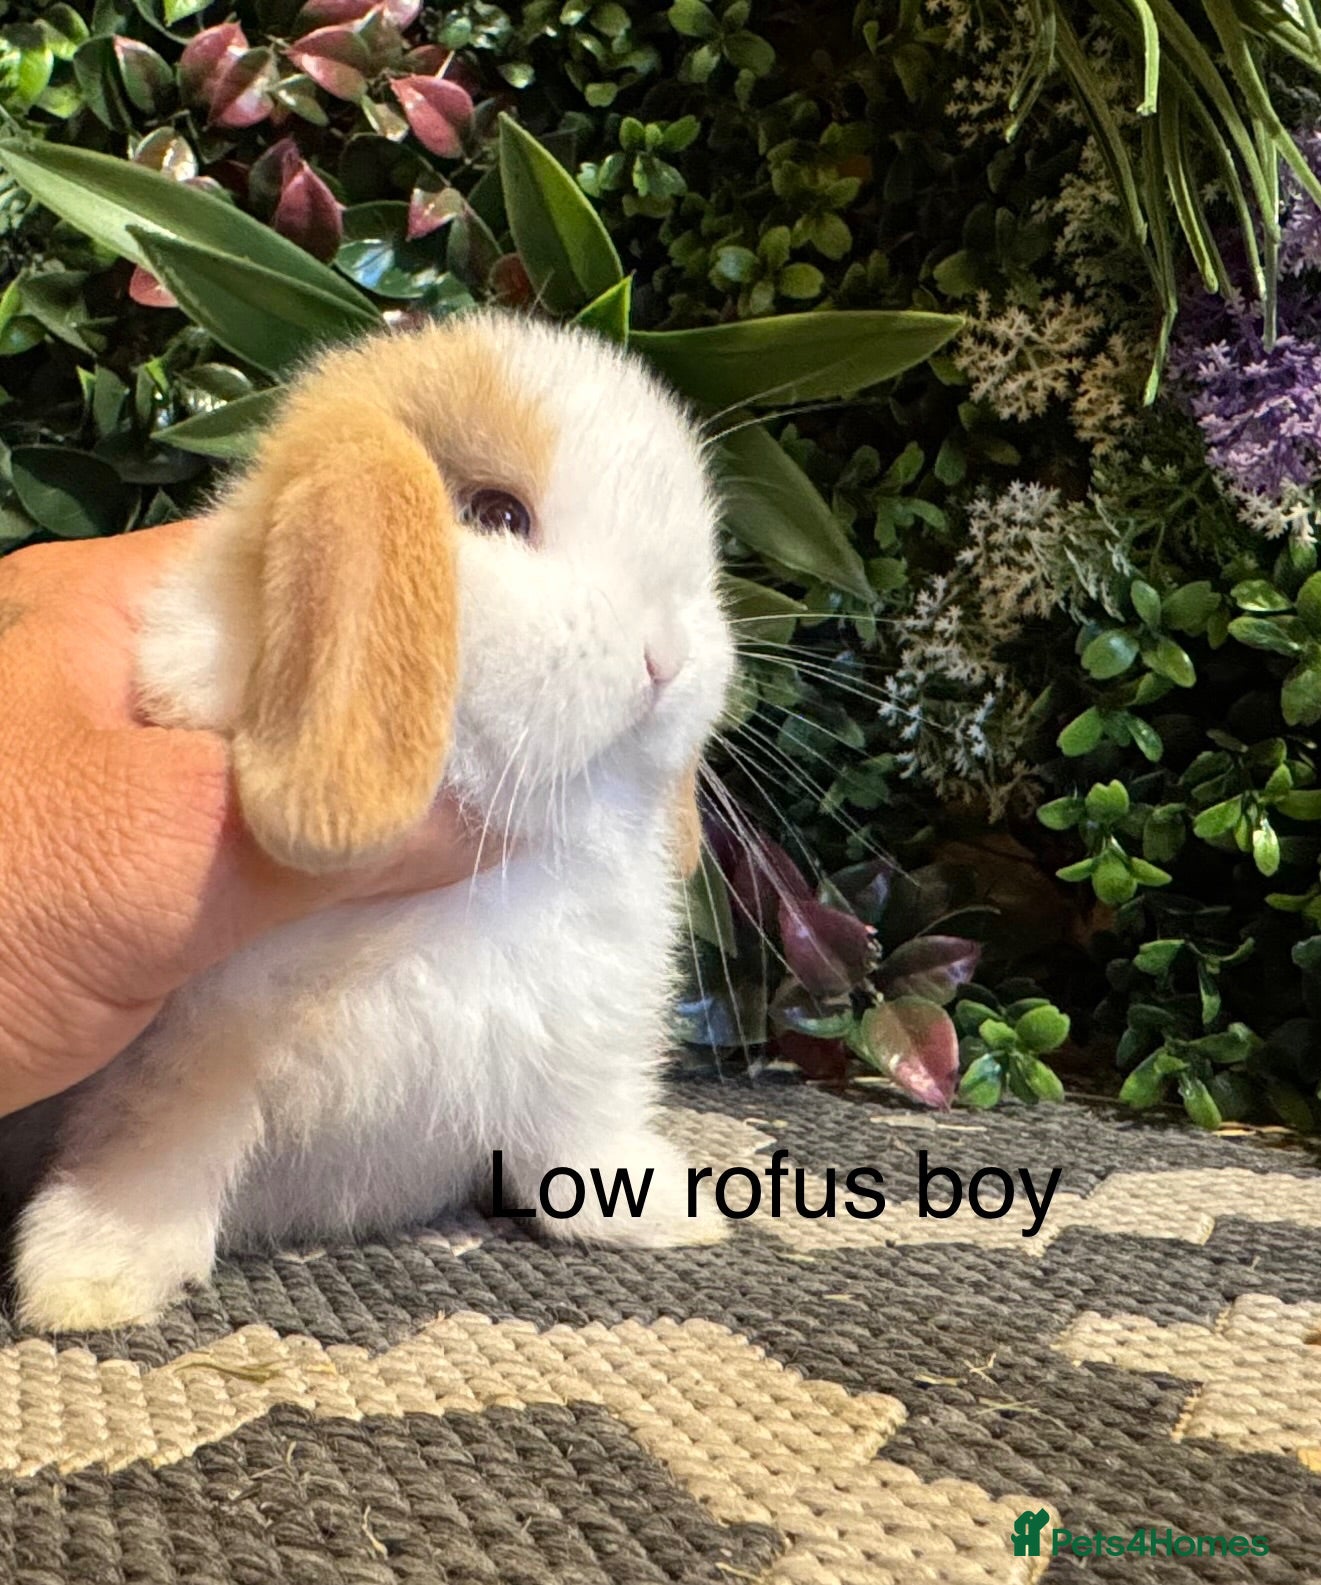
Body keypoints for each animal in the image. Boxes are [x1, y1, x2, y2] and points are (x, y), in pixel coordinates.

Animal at [2, 310, 735, 1332]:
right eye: (498, 514)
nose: (666, 656)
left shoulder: (581, 1046)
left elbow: (582, 1132)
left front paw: (663, 1209)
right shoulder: (178, 1054)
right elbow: (149, 1148)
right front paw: (91, 1275)